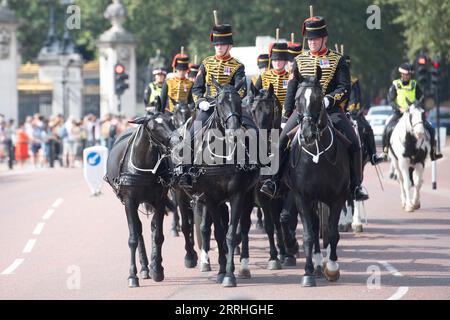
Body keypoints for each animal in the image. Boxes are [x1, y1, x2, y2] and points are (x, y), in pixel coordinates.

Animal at [104, 107, 185, 288]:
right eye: (153, 127)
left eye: (170, 121)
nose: (178, 140)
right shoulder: (129, 202)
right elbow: (133, 237)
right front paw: (132, 275)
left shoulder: (160, 201)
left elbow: (158, 235)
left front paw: (158, 270)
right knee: (138, 230)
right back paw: (143, 268)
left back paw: (150, 267)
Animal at [173, 77, 258, 288]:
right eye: (219, 103)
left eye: (239, 101)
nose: (234, 130)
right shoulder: (209, 197)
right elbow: (218, 232)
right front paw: (221, 271)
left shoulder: (238, 194)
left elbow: (230, 234)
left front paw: (229, 274)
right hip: (185, 194)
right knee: (192, 225)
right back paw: (194, 258)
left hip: (248, 194)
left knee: (243, 227)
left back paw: (243, 266)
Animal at [284, 70, 352, 288]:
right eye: (298, 100)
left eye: (318, 99)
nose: (307, 134)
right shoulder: (302, 197)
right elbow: (308, 235)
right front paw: (308, 273)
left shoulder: (338, 197)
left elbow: (332, 232)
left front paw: (332, 268)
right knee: (313, 228)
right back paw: (316, 264)